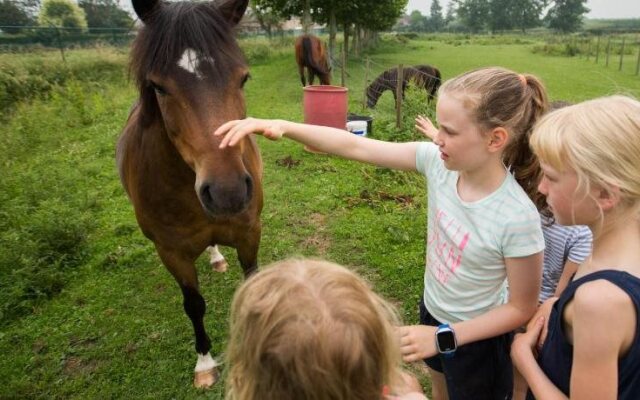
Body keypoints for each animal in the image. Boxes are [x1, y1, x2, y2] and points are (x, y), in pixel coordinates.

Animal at [115, 0, 262, 388]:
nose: (227, 191)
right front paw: (205, 363)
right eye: (158, 86)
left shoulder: (249, 233)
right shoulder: (171, 253)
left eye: (243, 77)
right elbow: (193, 304)